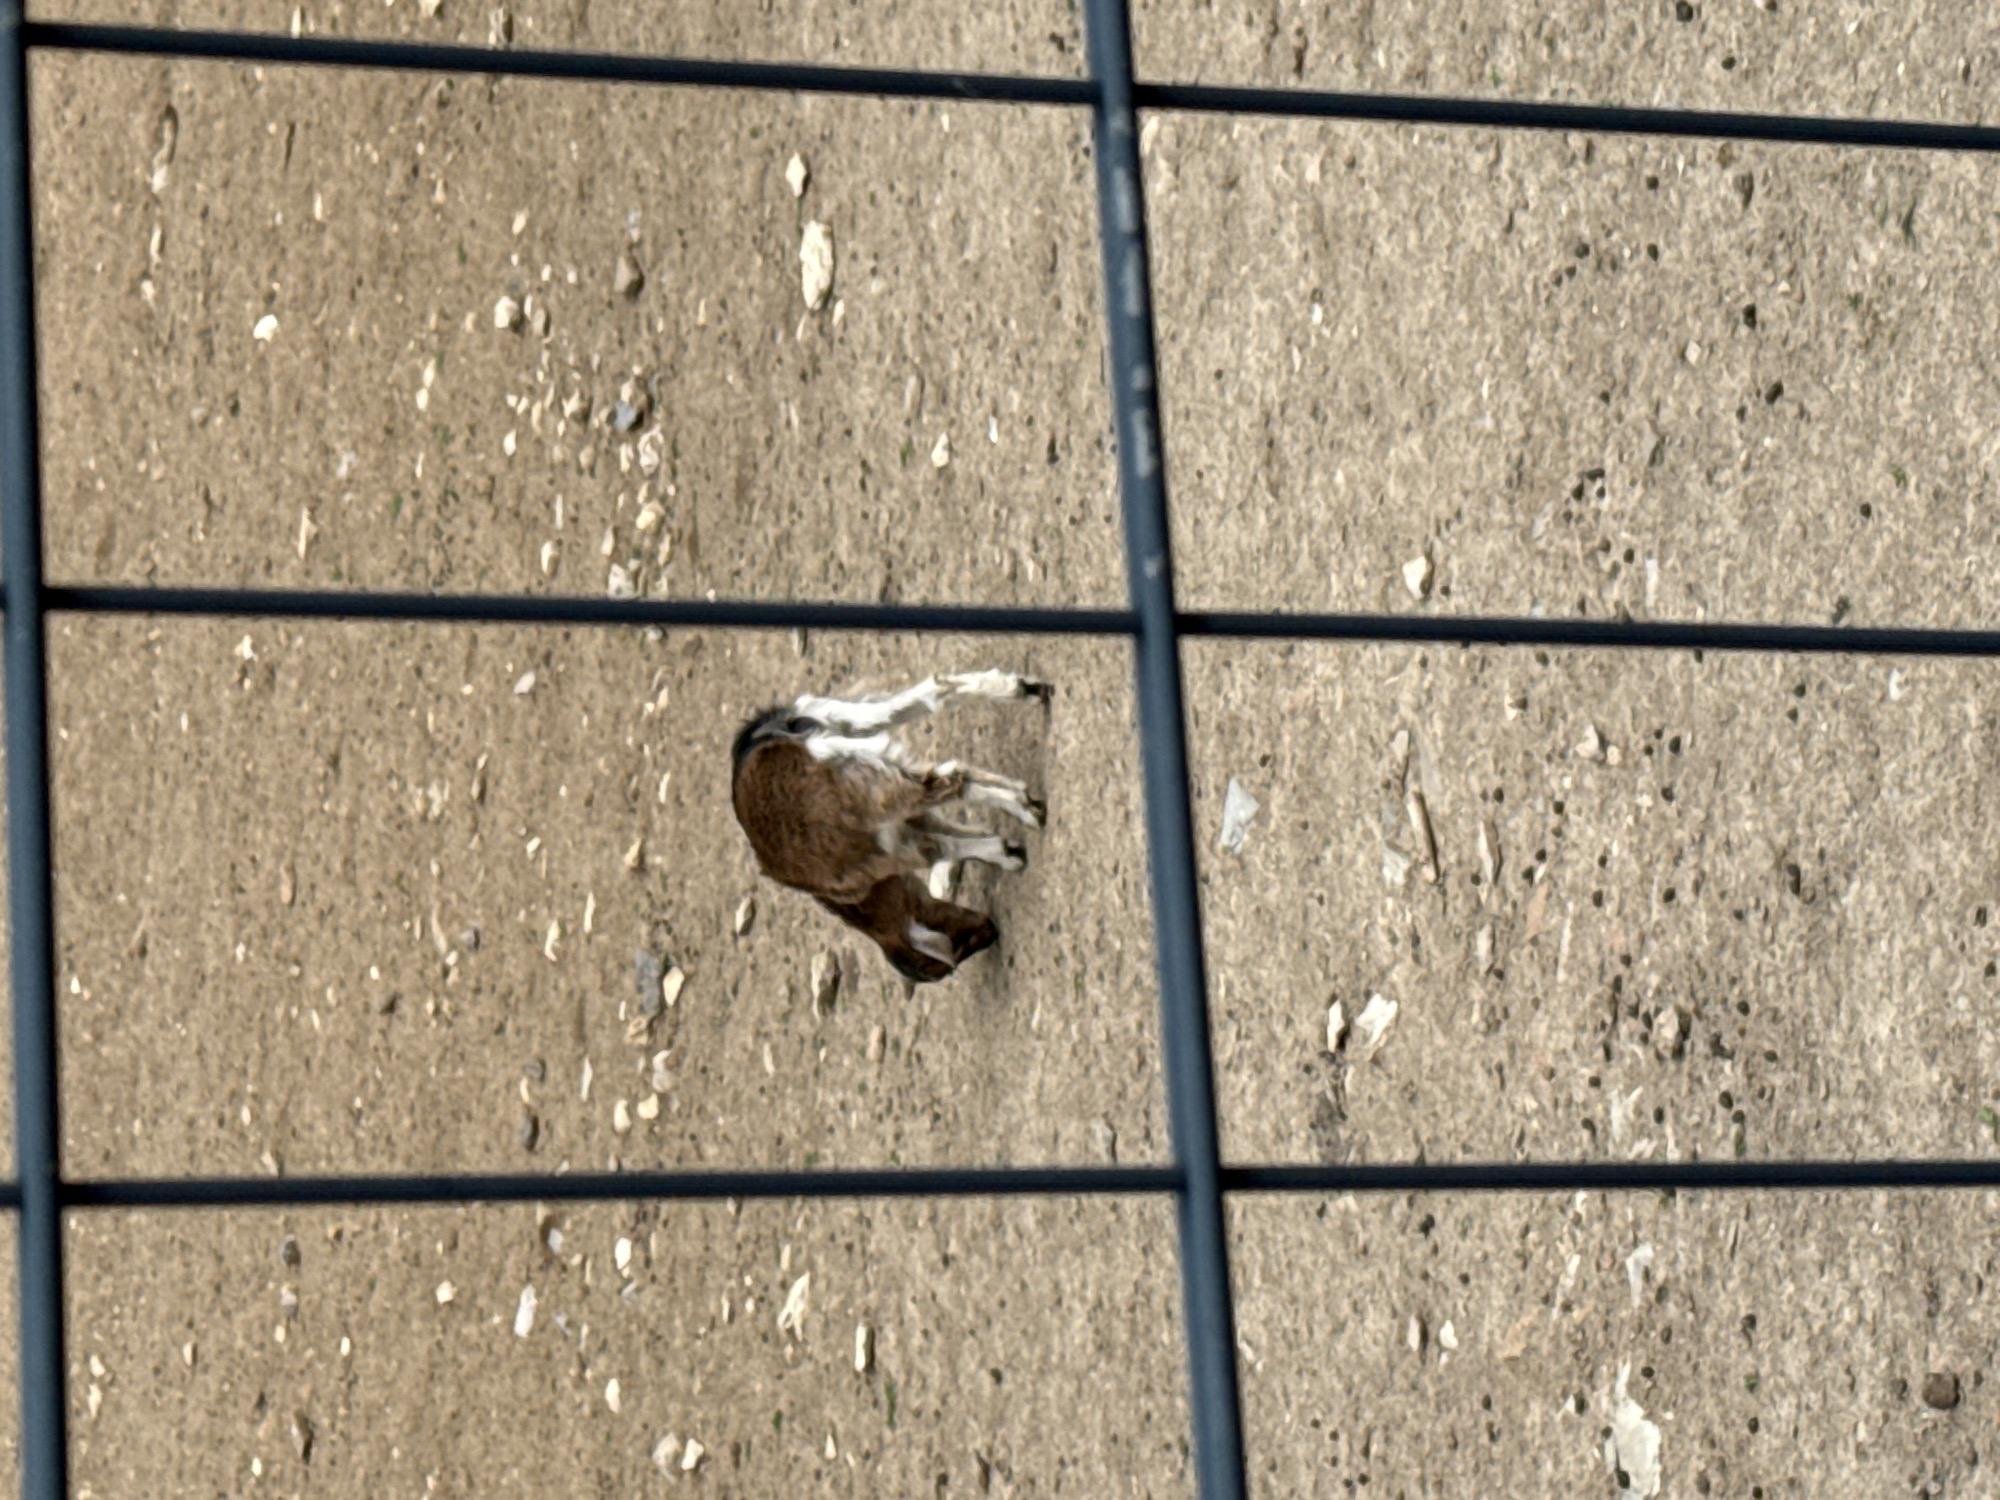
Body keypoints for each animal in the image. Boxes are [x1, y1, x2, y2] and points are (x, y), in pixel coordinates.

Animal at [731, 669, 1052, 984]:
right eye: (964, 945)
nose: (992, 933)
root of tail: (776, 740)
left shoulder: (893, 847)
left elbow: (946, 844)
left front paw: (1008, 850)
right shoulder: (901, 830)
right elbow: (953, 838)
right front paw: (1005, 847)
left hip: (871, 781)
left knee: (949, 781)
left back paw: (1025, 808)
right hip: (842, 721)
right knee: (931, 696)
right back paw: (1021, 692)